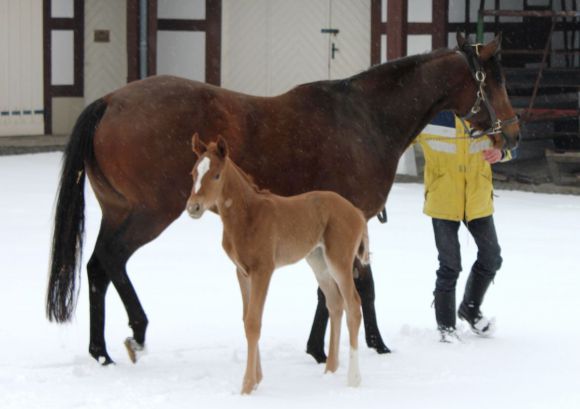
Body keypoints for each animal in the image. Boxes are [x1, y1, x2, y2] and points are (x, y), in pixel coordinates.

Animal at [187, 134, 368, 392]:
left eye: (217, 175)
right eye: (193, 173)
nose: (193, 207)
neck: (247, 216)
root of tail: (357, 212)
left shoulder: (264, 270)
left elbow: (254, 322)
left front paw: (247, 386)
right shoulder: (242, 272)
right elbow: (246, 319)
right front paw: (257, 379)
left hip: (339, 261)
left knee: (353, 305)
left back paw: (353, 379)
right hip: (319, 262)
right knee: (335, 304)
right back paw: (330, 370)